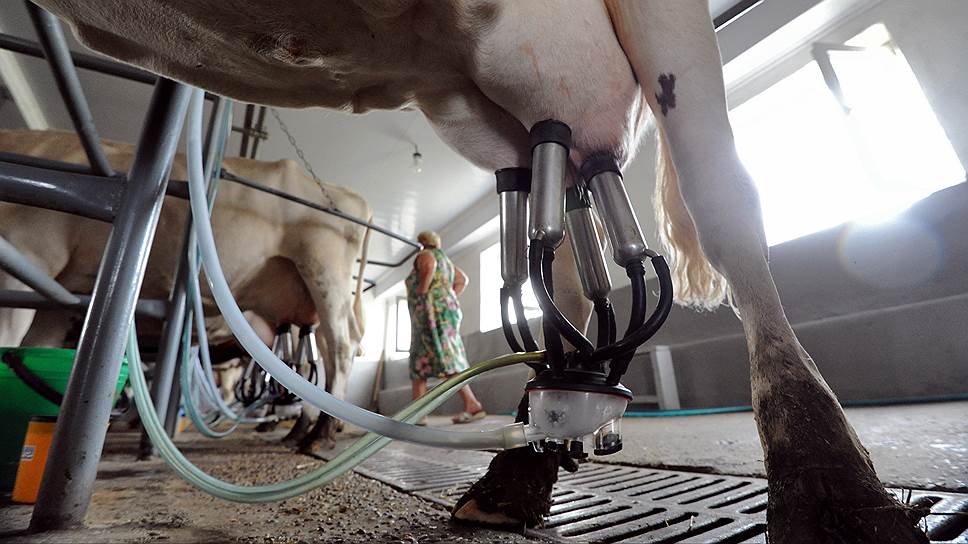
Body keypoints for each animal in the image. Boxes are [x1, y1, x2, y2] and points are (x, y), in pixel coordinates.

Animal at [0, 129, 373, 452]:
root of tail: (352, 197)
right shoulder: (56, 299)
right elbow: (34, 347)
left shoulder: (31, 255)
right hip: (306, 295)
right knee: (321, 352)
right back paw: (301, 430)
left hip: (324, 269)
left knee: (339, 347)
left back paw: (319, 433)